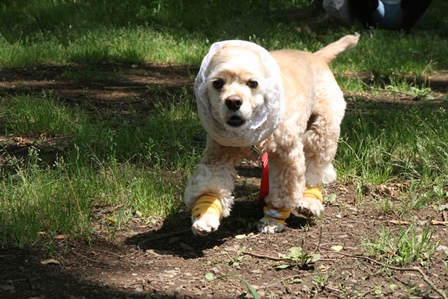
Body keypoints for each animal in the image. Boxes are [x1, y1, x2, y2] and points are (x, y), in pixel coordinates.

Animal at [184, 34, 358, 237]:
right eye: (217, 83)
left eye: (252, 83)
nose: (233, 101)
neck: (249, 132)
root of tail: (316, 56)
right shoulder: (217, 158)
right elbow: (210, 184)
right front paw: (205, 216)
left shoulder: (288, 158)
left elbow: (284, 192)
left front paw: (273, 219)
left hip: (323, 129)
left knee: (316, 168)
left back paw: (310, 201)